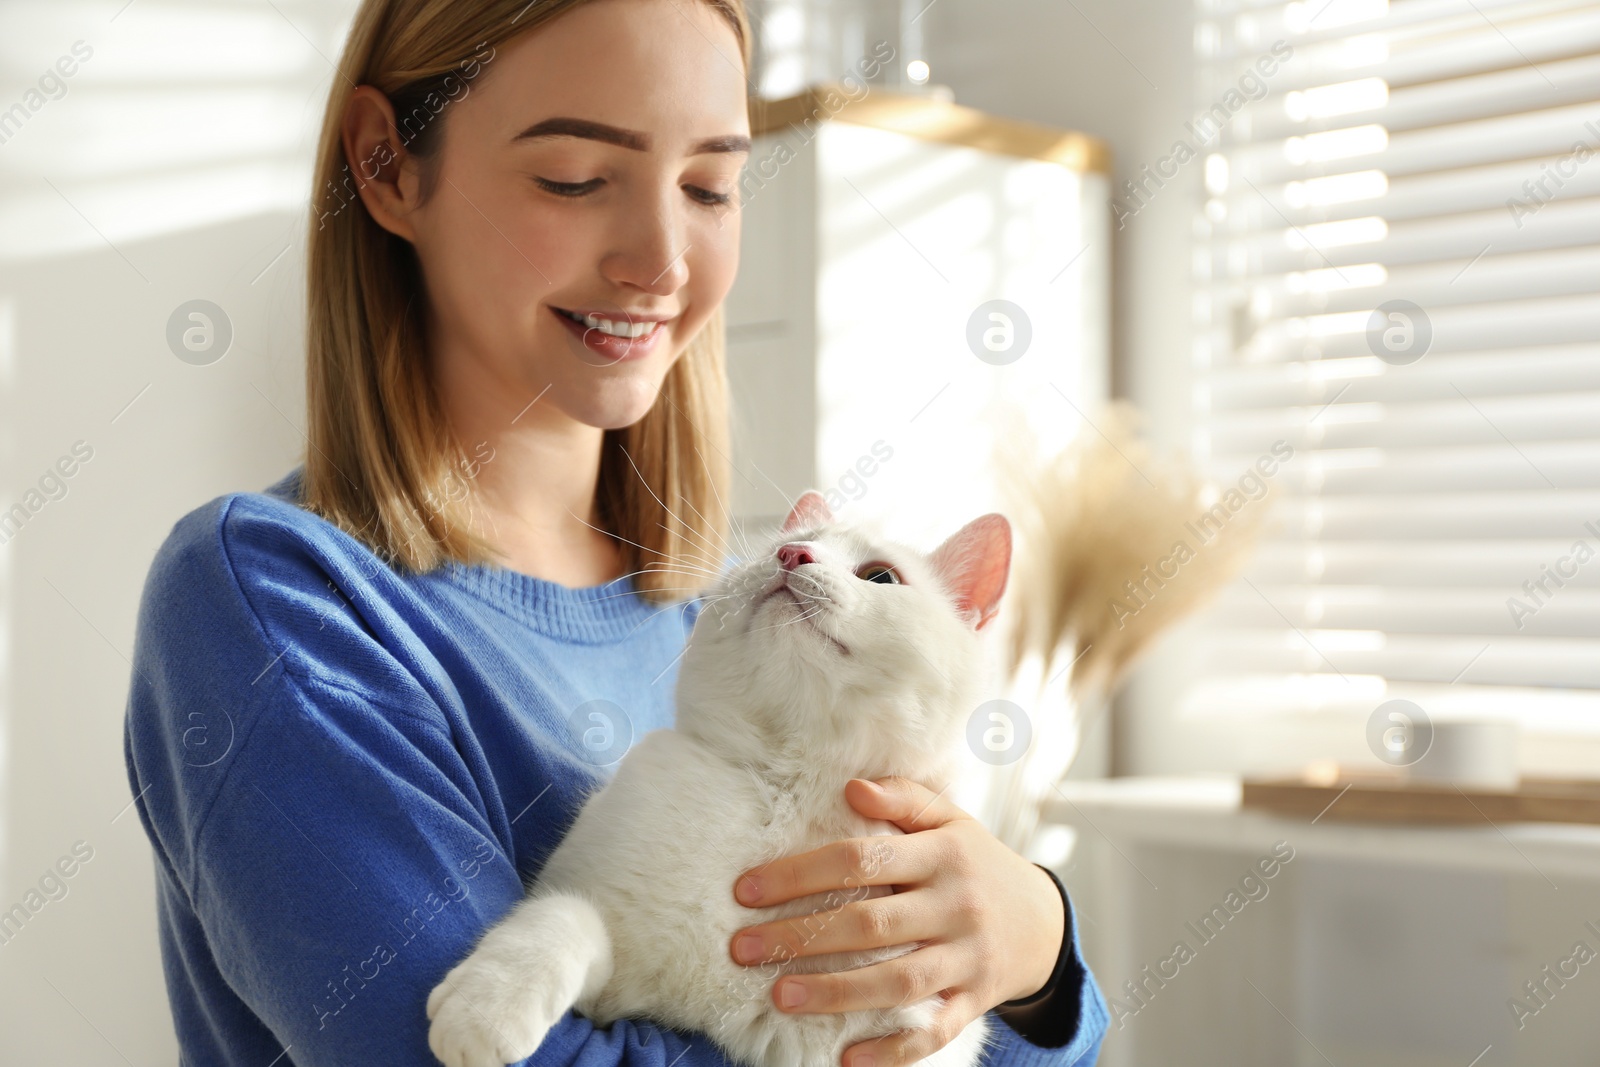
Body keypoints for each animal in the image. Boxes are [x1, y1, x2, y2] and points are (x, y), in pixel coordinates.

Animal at [428, 489, 1011, 1067]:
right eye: (780, 547)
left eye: (881, 576)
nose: (792, 556)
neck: (788, 791)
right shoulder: (607, 982)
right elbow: (565, 915)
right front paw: (485, 1009)